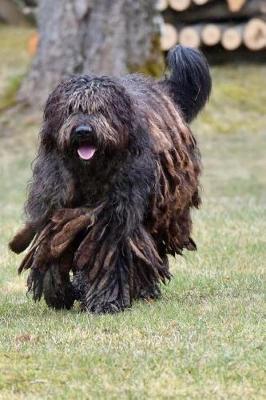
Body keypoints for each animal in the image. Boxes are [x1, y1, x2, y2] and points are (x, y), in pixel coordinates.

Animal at [9, 46, 211, 312]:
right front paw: (59, 292)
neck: (90, 171)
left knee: (149, 246)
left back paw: (144, 289)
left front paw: (105, 301)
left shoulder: (114, 215)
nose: (83, 131)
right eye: (70, 109)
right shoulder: (57, 206)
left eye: (101, 109)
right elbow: (53, 246)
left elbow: (110, 256)